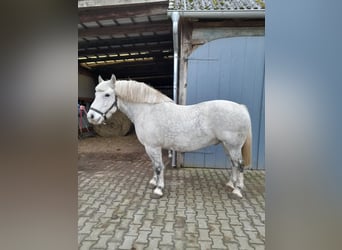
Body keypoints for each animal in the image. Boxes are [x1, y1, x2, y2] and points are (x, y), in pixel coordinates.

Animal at [87, 75, 252, 198]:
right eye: (95, 93)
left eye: (107, 94)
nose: (91, 116)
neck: (147, 111)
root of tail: (240, 107)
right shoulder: (150, 147)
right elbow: (154, 165)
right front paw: (154, 182)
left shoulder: (153, 147)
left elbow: (159, 167)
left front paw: (158, 189)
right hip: (226, 145)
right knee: (233, 164)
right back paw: (231, 184)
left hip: (233, 146)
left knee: (239, 164)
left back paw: (237, 191)